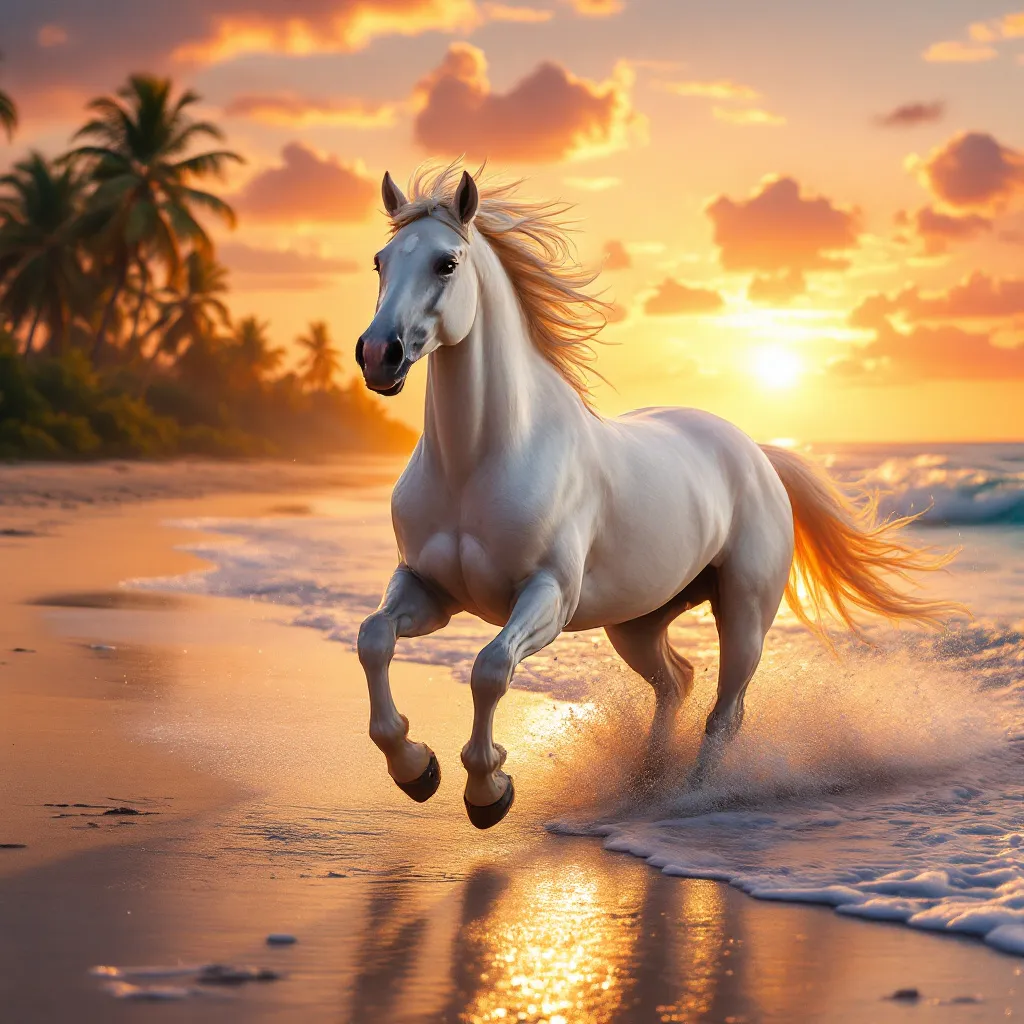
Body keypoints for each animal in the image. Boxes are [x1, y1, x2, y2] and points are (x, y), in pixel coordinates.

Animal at [354, 162, 957, 830]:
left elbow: (490, 669)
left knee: (724, 711)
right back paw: (644, 784)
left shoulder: (546, 595)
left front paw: (488, 791)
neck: (479, 461)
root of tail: (756, 454)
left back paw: (691, 796)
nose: (378, 355)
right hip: (637, 622)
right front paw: (416, 768)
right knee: (676, 683)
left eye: (447, 263)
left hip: (744, 615)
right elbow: (373, 639)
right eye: (380, 261)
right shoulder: (429, 589)